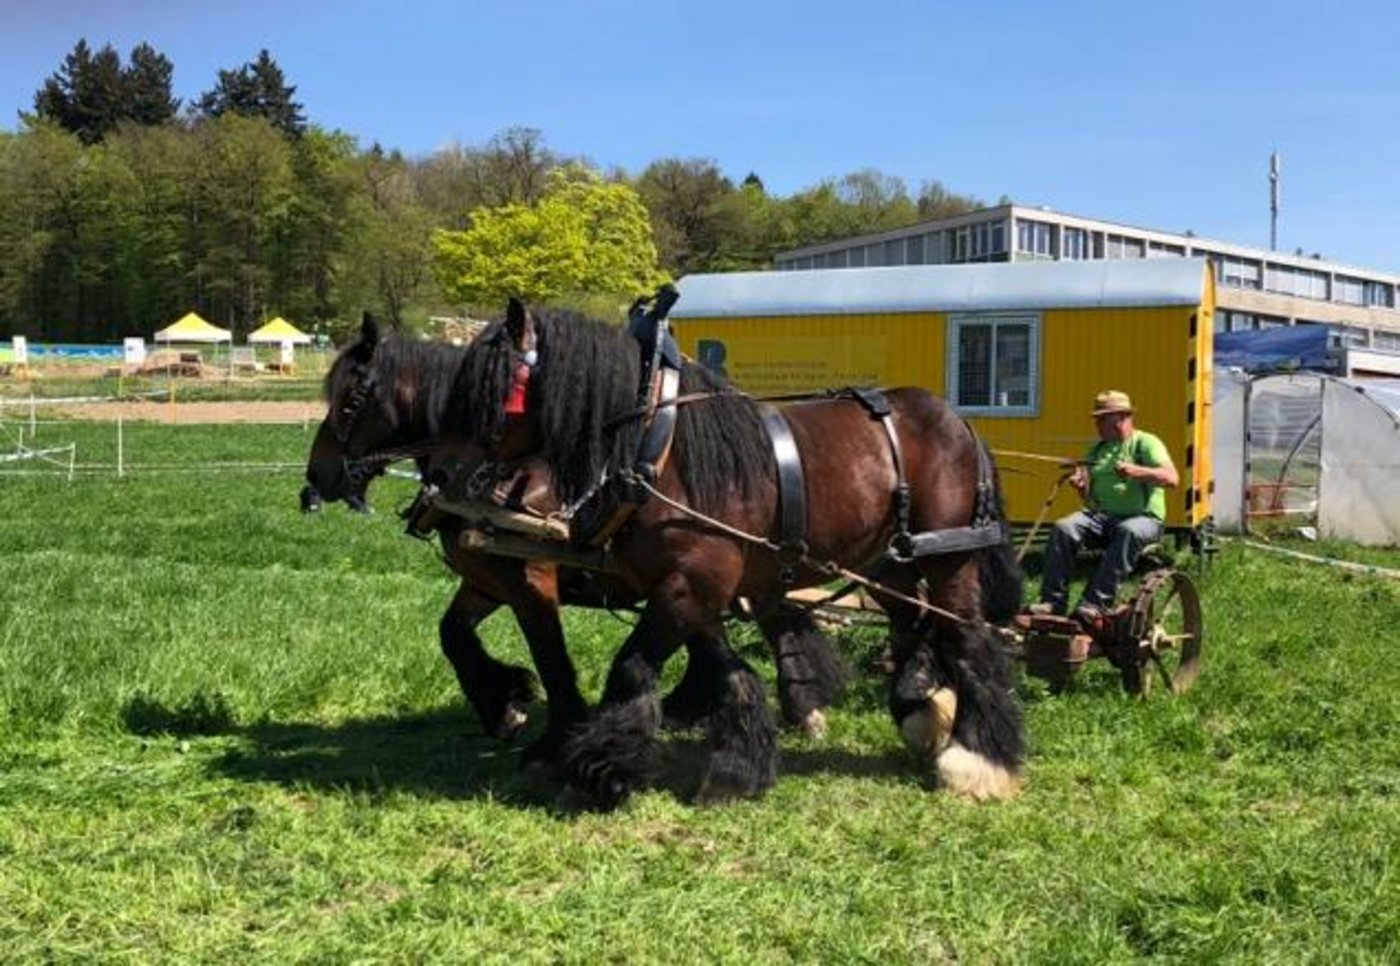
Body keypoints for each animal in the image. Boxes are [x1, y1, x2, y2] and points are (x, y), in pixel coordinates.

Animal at [302, 315, 846, 770]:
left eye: (351, 401)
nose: (315, 478)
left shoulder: (530, 580)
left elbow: (550, 655)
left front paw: (555, 734)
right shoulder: (487, 578)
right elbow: (452, 634)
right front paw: (503, 704)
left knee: (775, 616)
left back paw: (801, 706)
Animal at [447, 297, 1026, 806]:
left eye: (489, 386)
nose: (449, 485)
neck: (659, 446)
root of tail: (958, 421)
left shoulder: (689, 585)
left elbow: (632, 668)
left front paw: (598, 771)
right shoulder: (691, 589)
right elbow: (728, 672)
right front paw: (737, 766)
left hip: (949, 557)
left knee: (967, 640)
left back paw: (978, 759)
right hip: (888, 564)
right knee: (912, 626)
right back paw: (920, 711)